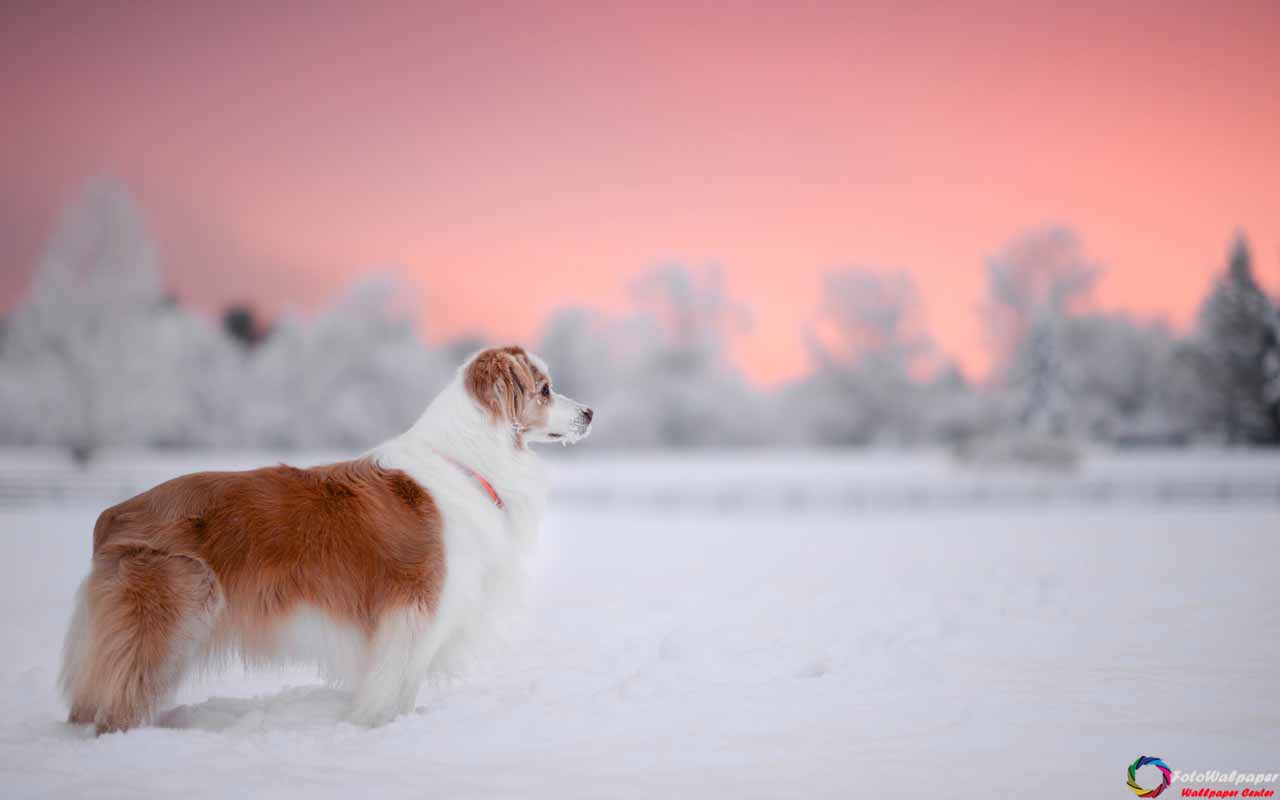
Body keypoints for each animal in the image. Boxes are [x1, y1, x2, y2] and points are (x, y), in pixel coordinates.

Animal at [60, 345, 593, 732]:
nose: (589, 411)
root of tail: (112, 513)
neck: (466, 459)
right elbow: (398, 684)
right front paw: (381, 728)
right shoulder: (417, 611)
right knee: (117, 704)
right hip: (172, 613)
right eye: (545, 389)